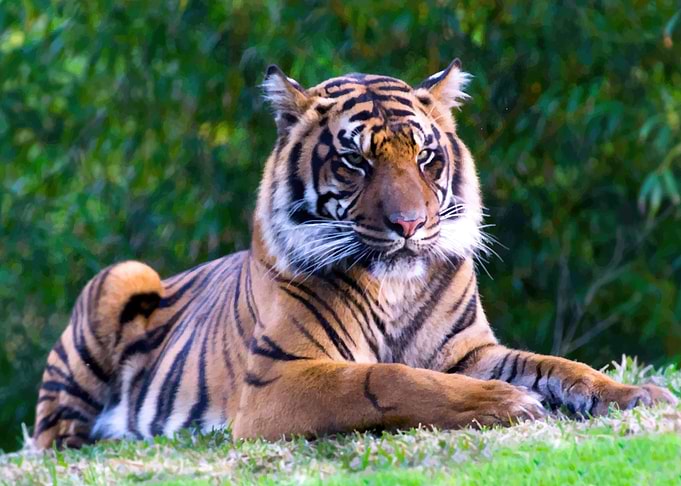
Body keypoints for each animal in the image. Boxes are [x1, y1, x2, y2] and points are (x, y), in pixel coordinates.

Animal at [33, 59, 677, 449]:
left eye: (425, 157)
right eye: (355, 161)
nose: (410, 225)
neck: (396, 285)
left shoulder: (469, 352)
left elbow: (557, 365)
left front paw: (636, 393)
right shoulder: (276, 379)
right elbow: (385, 379)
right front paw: (506, 403)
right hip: (122, 276)